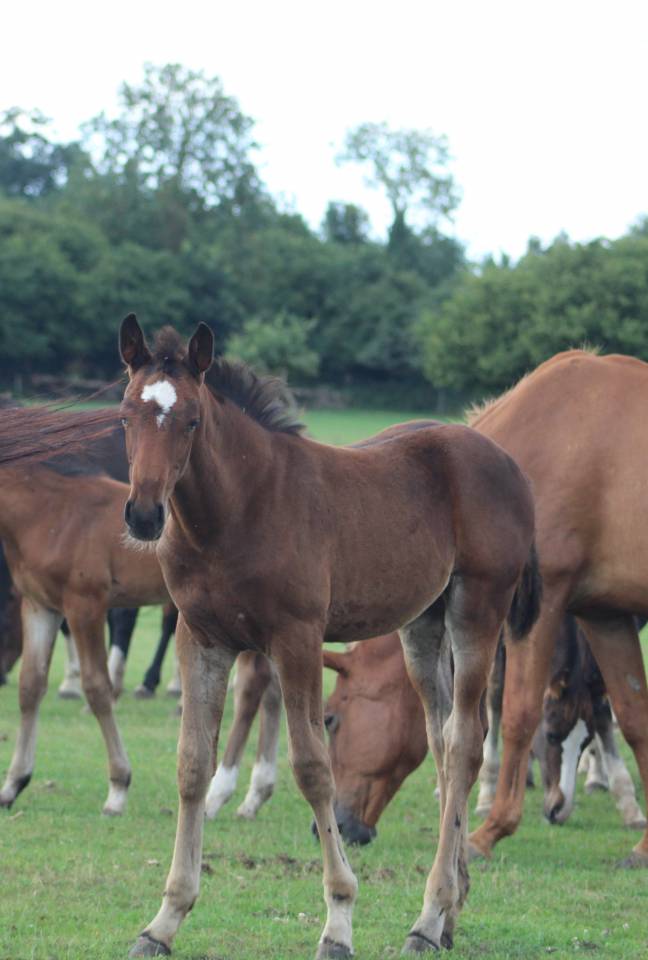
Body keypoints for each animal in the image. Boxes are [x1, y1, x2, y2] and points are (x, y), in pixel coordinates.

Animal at [117, 315, 540, 958]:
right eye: (124, 415)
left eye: (190, 419)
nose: (144, 515)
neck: (238, 509)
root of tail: (509, 464)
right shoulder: (201, 637)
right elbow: (192, 764)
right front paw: (164, 921)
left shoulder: (298, 638)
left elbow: (314, 768)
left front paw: (338, 921)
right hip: (424, 623)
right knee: (442, 740)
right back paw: (448, 914)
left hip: (478, 607)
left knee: (466, 739)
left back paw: (428, 915)